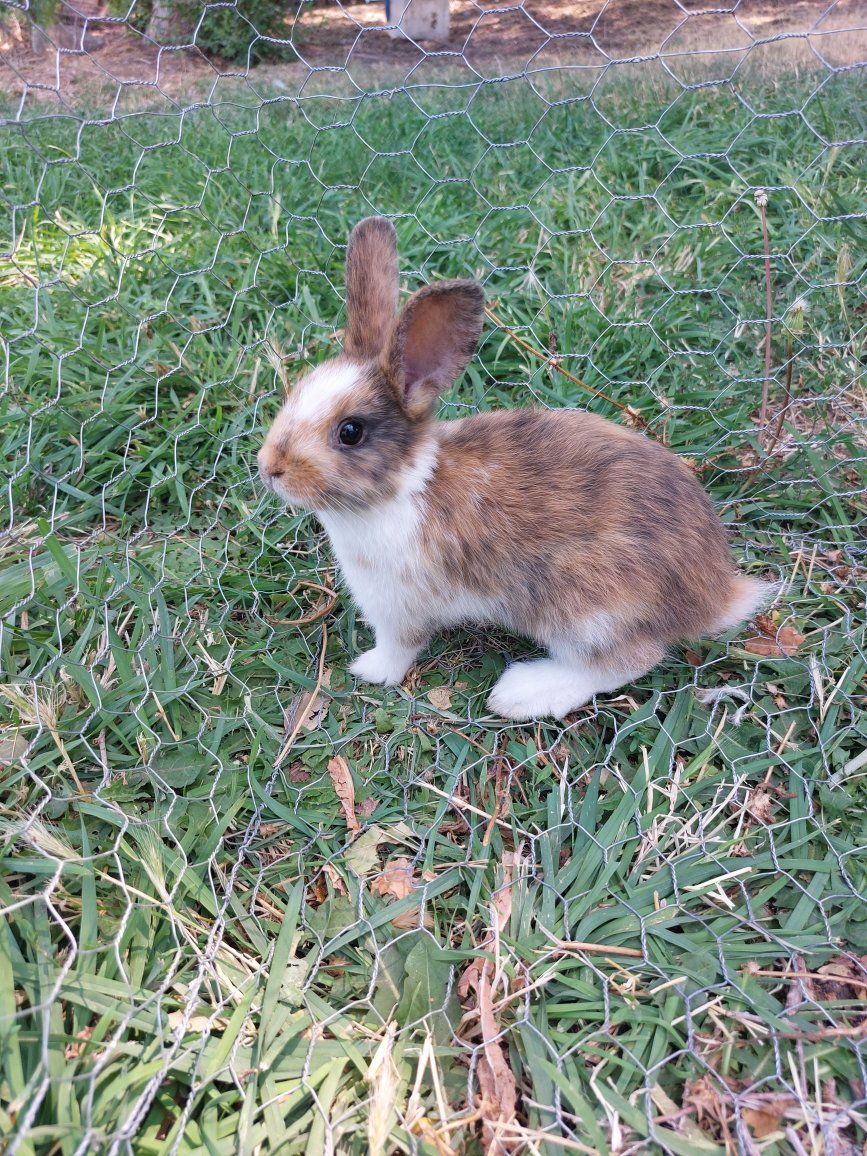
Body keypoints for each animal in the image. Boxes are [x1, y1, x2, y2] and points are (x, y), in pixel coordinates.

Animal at [258, 216, 775, 720]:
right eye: (297, 390)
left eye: (350, 432)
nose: (269, 468)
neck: (403, 488)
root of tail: (715, 594)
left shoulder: (401, 609)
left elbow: (400, 647)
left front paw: (370, 670)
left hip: (585, 609)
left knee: (626, 661)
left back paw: (522, 693)